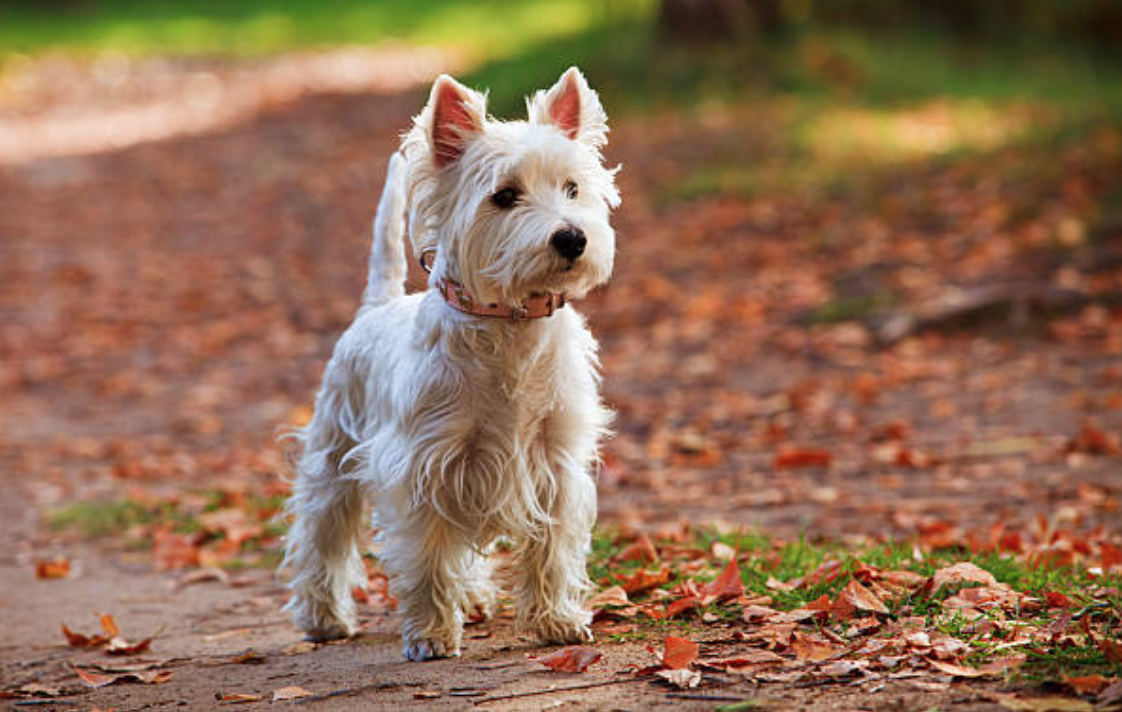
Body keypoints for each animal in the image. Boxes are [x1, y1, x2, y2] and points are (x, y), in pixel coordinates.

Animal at [277, 68, 619, 663]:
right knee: (322, 532)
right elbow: (428, 556)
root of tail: (377, 305)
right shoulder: (422, 463)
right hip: (333, 451)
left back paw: (476, 600)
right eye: (504, 196)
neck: (510, 322)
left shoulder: (552, 461)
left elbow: (551, 548)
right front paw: (432, 635)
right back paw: (324, 618)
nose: (573, 238)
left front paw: (556, 621)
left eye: (573, 189)